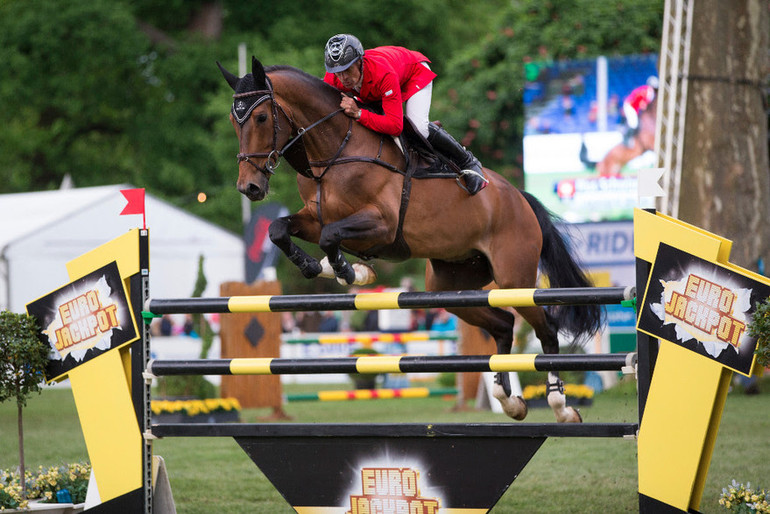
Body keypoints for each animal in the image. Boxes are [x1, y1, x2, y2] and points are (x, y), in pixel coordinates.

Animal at [216, 58, 600, 422]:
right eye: (235, 121)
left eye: (261, 117)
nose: (249, 188)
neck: (336, 149)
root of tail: (518, 197)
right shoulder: (314, 216)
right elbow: (279, 230)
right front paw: (318, 267)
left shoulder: (382, 227)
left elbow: (329, 237)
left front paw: (351, 272)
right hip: (451, 285)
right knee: (504, 325)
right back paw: (509, 401)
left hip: (513, 279)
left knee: (547, 329)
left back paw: (560, 406)